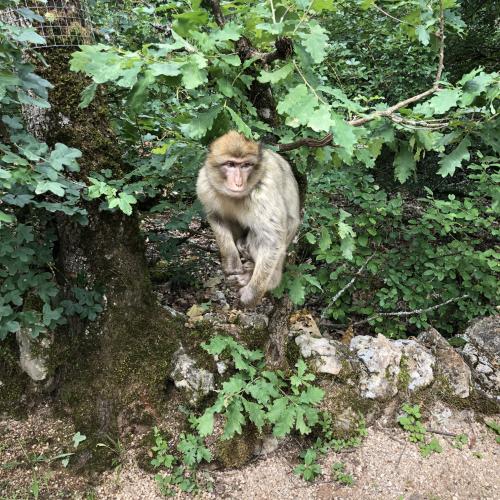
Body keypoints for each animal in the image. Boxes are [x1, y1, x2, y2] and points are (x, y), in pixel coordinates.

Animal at [196, 131, 298, 306]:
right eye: (230, 164)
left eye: (246, 165)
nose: (238, 183)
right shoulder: (205, 184)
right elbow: (215, 216)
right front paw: (231, 262)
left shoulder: (263, 193)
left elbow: (272, 240)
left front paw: (251, 294)